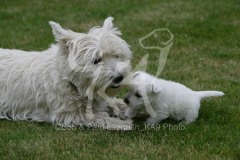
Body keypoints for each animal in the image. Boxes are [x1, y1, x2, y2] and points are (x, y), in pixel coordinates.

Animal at [0, 17, 133, 130]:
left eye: (116, 56)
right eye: (96, 60)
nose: (119, 77)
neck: (68, 81)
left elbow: (116, 102)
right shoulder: (68, 114)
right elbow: (98, 117)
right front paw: (123, 123)